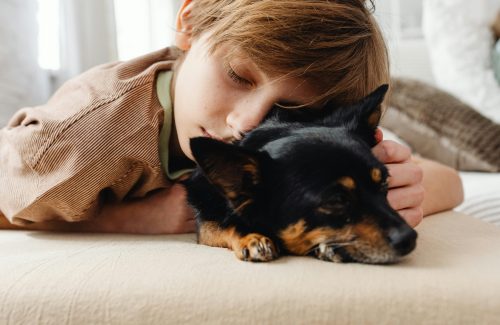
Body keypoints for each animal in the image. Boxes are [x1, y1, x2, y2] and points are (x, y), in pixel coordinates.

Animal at [182, 85, 416, 264]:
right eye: (336, 200)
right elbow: (222, 223)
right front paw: (252, 237)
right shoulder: (206, 215)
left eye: (385, 183)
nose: (411, 238)